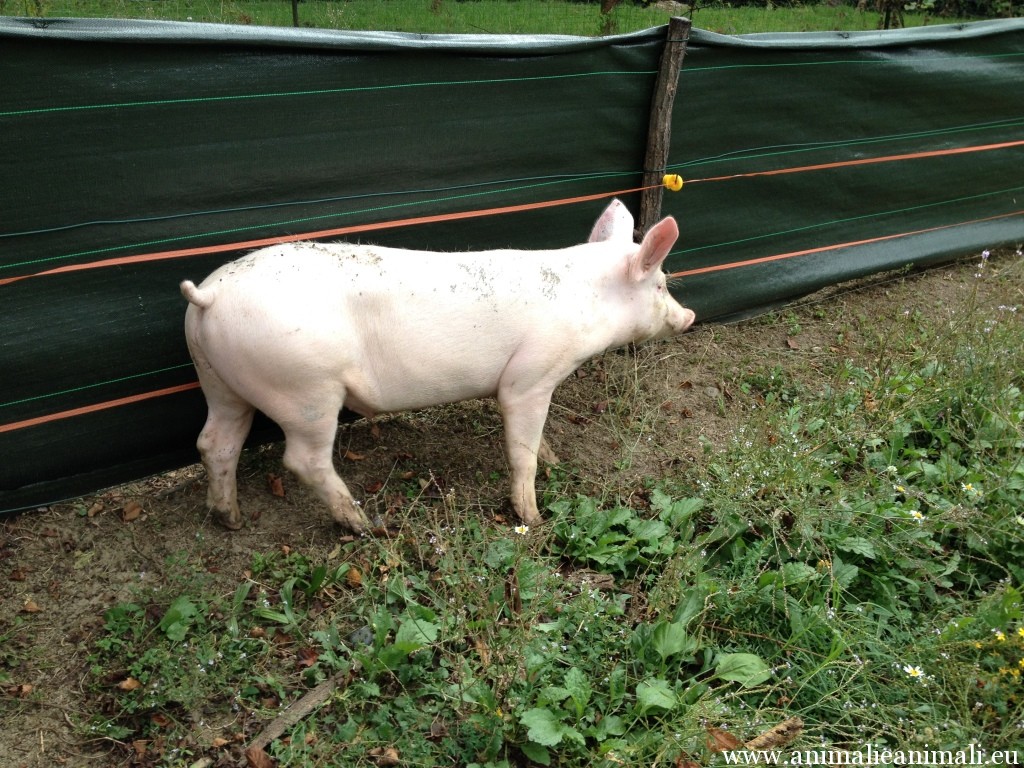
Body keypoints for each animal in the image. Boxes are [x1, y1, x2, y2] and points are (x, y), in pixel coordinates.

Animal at [180, 199, 695, 534]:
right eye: (661, 285)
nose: (689, 316)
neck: (589, 302)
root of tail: (209, 296)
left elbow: (538, 440)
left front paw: (555, 460)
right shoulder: (530, 377)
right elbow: (521, 446)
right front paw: (533, 517)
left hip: (219, 379)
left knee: (214, 442)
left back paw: (230, 520)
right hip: (304, 389)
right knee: (302, 459)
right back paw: (365, 524)